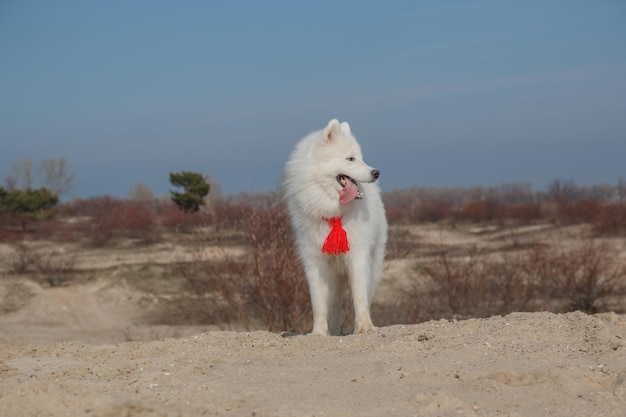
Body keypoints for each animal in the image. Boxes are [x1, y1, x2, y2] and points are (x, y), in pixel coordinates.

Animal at [282, 118, 386, 334]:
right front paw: (319, 333)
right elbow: (319, 304)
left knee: (366, 295)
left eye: (361, 158)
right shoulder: (315, 262)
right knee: (336, 305)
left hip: (374, 265)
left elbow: (359, 297)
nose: (376, 173)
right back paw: (335, 330)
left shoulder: (358, 256)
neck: (332, 211)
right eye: (350, 159)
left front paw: (364, 327)